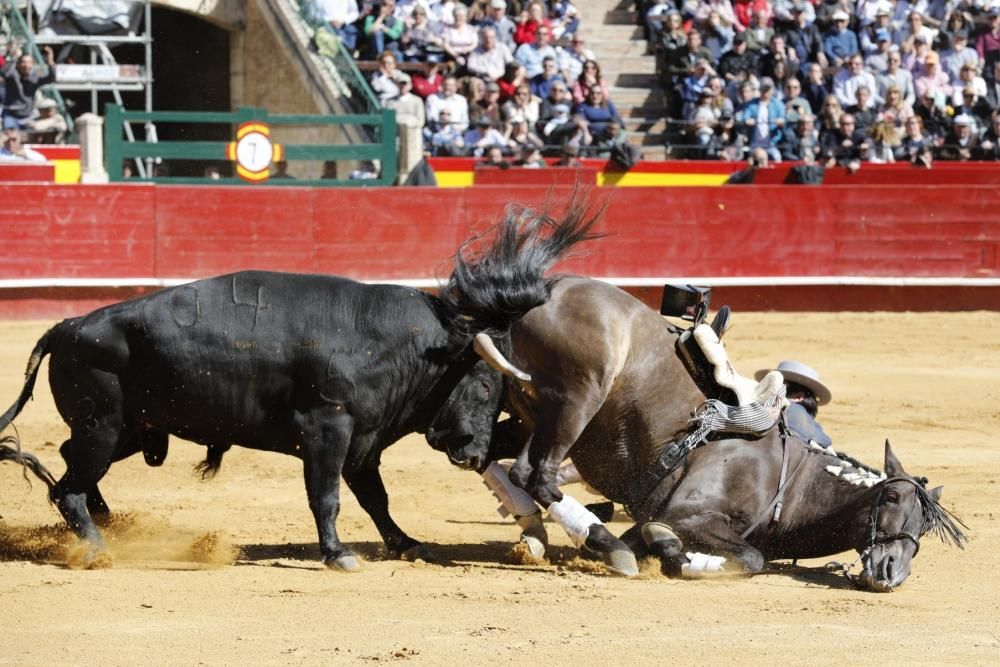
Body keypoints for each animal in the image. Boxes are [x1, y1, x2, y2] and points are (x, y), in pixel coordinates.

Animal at [0, 202, 600, 568]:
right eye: (483, 386)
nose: (477, 455)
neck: (398, 345)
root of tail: (70, 325)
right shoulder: (327, 429)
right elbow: (326, 496)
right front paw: (338, 555)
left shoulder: (364, 443)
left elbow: (375, 499)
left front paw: (406, 544)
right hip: (104, 424)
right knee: (68, 485)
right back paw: (98, 546)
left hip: (128, 427)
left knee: (70, 465)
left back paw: (107, 521)